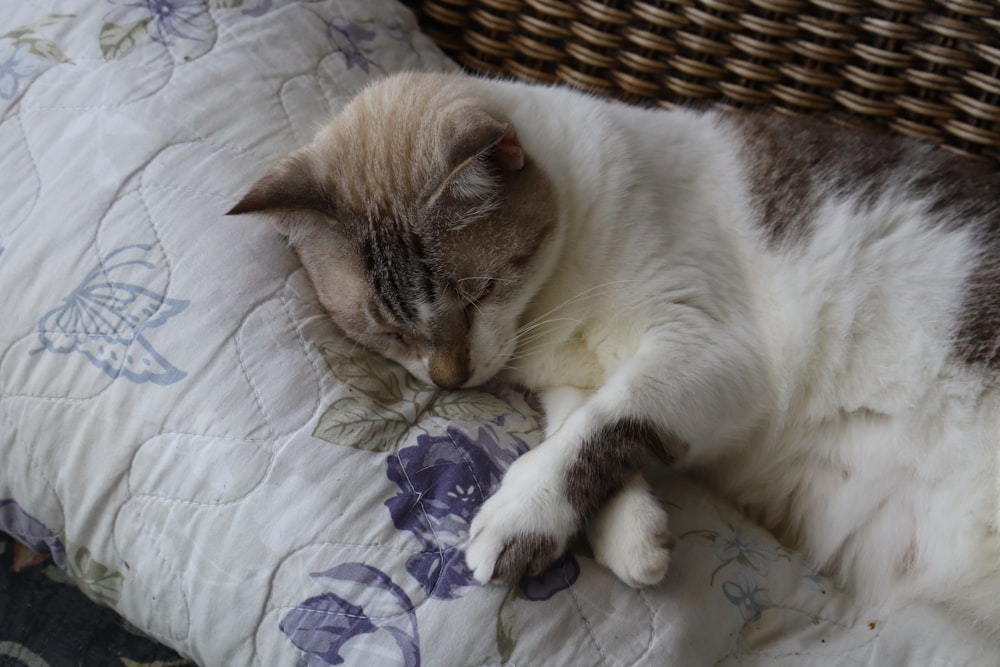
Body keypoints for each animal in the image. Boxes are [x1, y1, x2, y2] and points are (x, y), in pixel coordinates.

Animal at [229, 73, 1000, 632]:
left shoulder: (712, 347)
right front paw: (633, 535)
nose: (452, 377)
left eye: (478, 293)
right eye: (388, 331)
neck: (550, 311)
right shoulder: (571, 380)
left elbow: (607, 421)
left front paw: (523, 515)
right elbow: (585, 428)